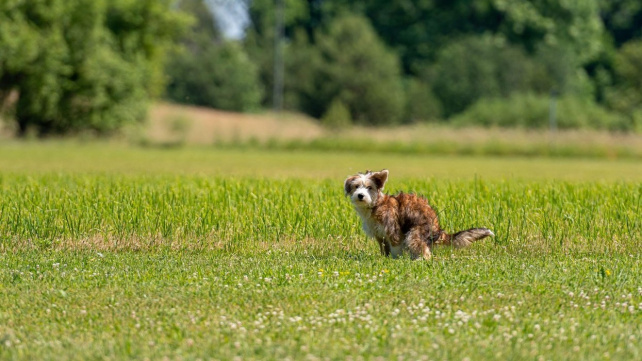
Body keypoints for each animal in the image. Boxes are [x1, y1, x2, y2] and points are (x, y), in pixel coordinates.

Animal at [342, 169, 492, 258]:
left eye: (369, 187)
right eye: (356, 186)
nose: (360, 195)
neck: (375, 205)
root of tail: (438, 229)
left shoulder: (393, 230)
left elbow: (395, 247)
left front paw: (395, 260)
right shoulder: (380, 234)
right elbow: (384, 248)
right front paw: (385, 258)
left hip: (415, 233)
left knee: (425, 252)